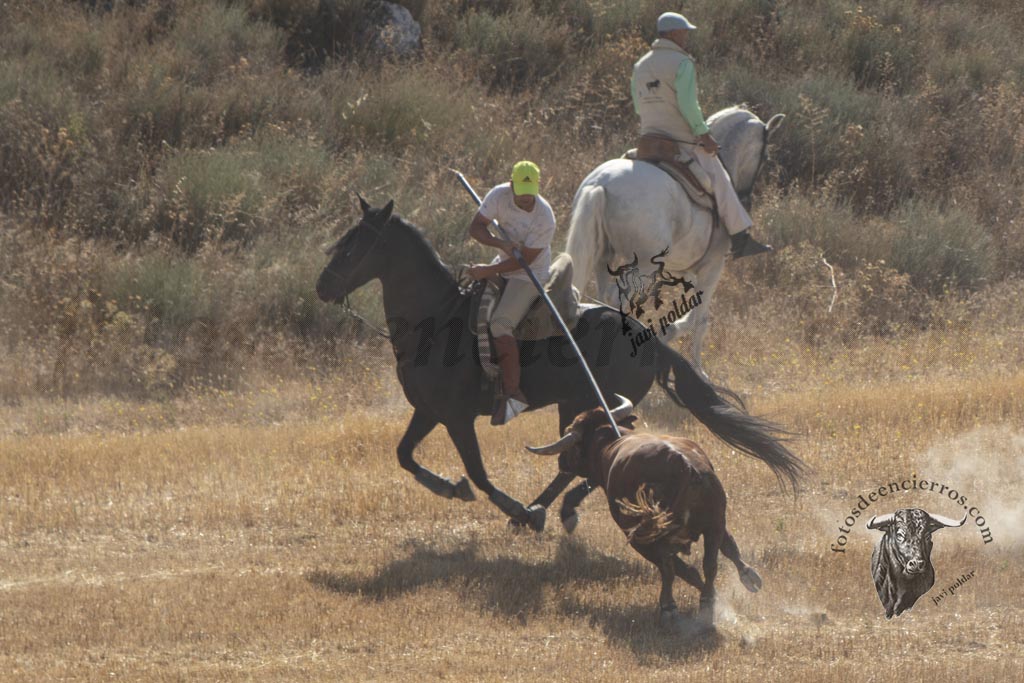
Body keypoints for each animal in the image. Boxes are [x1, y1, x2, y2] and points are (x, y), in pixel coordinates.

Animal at [316, 197, 805, 531]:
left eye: (354, 246)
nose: (322, 287)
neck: (437, 319)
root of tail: (648, 340)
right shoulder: (428, 410)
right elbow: (404, 455)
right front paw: (449, 488)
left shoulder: (456, 417)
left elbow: (477, 471)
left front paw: (498, 500)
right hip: (576, 405)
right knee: (578, 459)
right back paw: (544, 511)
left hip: (588, 403)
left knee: (591, 454)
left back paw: (540, 511)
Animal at [526, 395, 763, 630]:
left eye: (572, 439)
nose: (561, 461)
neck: (610, 442)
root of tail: (684, 467)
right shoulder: (712, 525)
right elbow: (721, 551)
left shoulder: (640, 538)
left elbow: (679, 569)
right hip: (714, 522)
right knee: (712, 562)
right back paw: (721, 594)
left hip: (646, 536)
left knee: (671, 569)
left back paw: (669, 608)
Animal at [566, 107, 786, 379]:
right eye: (765, 156)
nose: (746, 199)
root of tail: (601, 184)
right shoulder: (713, 268)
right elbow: (699, 319)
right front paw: (698, 369)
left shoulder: (685, 269)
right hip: (642, 268)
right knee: (621, 303)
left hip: (604, 257)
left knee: (604, 298)